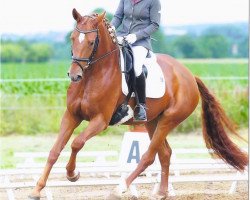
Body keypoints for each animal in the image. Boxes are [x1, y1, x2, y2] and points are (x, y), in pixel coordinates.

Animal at [30, 9, 247, 198]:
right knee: (165, 154)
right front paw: (37, 189)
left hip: (169, 119)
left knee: (148, 156)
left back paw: (120, 188)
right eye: (73, 39)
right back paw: (161, 193)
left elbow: (77, 143)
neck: (92, 76)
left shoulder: (100, 121)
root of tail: (189, 75)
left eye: (91, 42)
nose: (75, 75)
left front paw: (72, 174)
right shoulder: (71, 116)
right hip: (152, 121)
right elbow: (54, 151)